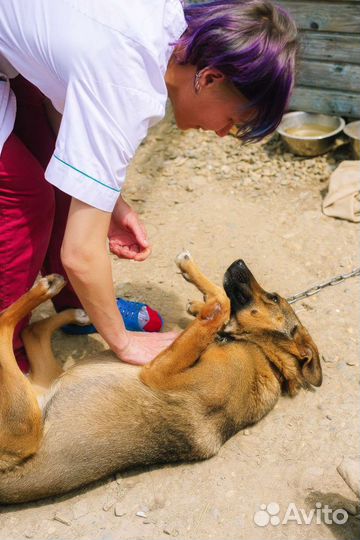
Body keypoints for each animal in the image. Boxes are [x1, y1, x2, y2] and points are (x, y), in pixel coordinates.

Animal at [0, 251, 322, 504]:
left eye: (273, 297)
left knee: (10, 327)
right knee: (33, 331)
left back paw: (50, 289)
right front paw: (198, 301)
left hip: (25, 427)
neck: (262, 354)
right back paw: (72, 308)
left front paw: (197, 284)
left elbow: (221, 305)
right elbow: (217, 307)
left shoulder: (158, 374)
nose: (239, 262)